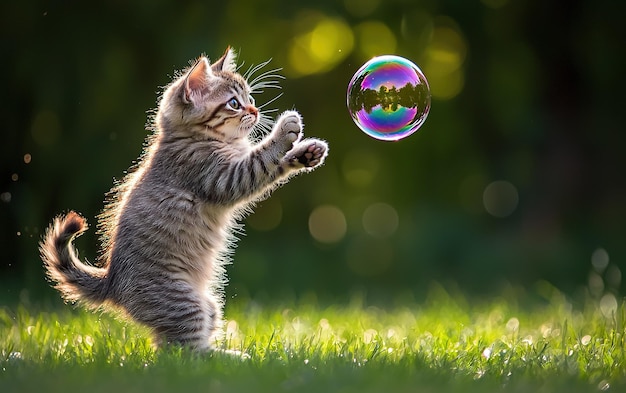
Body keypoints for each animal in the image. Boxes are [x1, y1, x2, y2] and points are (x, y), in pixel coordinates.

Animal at [40, 47, 326, 350]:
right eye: (234, 103)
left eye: (250, 98)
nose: (255, 110)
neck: (191, 137)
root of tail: (111, 282)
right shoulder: (221, 176)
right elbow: (261, 160)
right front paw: (285, 130)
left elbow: (275, 164)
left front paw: (307, 153)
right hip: (183, 300)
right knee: (187, 353)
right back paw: (233, 357)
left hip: (209, 304)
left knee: (170, 347)